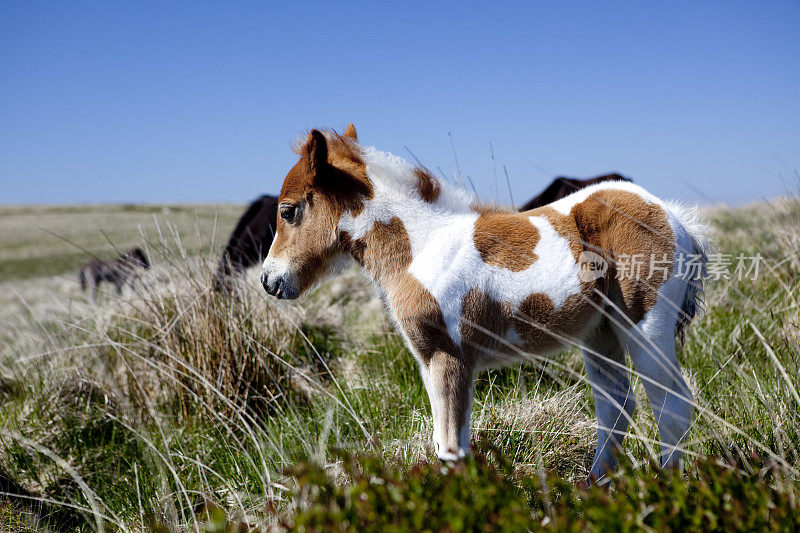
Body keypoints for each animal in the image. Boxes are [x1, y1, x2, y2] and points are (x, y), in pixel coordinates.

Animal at [260, 124, 708, 478]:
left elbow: (451, 449)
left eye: (288, 210)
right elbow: (446, 440)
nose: (269, 280)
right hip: (600, 333)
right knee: (617, 407)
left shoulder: (451, 357)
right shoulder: (429, 361)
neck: (422, 247)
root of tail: (675, 217)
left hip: (646, 328)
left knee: (671, 408)